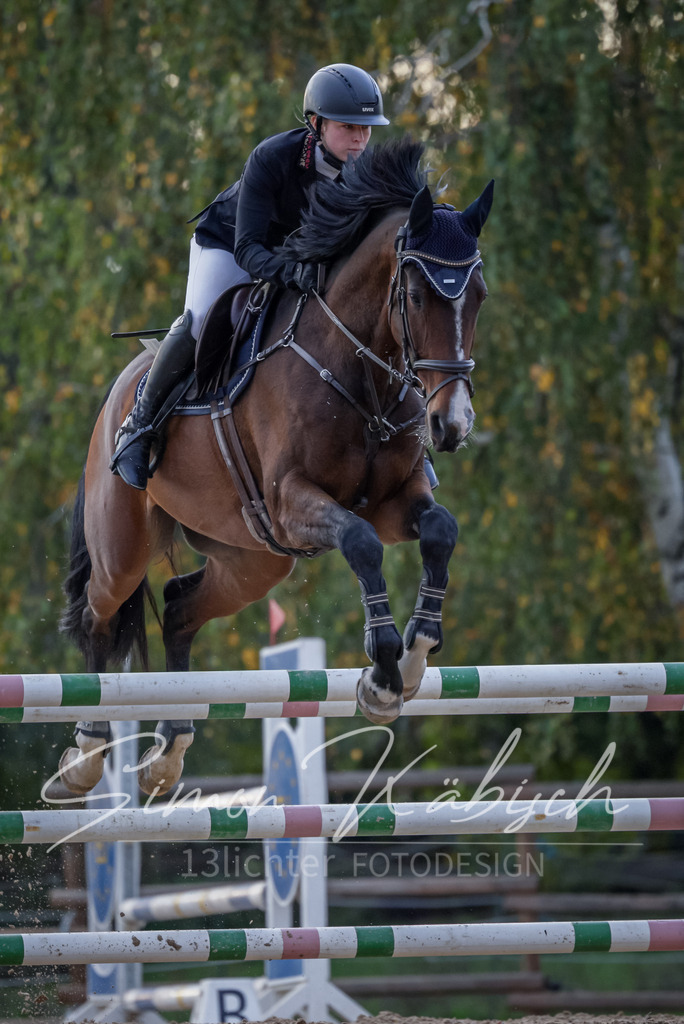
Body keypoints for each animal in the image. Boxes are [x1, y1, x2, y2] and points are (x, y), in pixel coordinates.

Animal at [58, 138, 493, 797]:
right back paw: (84, 756)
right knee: (97, 616)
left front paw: (414, 660)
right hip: (123, 551)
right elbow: (362, 545)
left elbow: (440, 531)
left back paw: (168, 752)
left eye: (480, 296)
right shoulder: (293, 501)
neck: (357, 364)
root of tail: (115, 396)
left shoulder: (394, 499)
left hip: (254, 560)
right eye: (417, 296)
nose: (452, 425)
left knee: (180, 610)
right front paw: (382, 676)